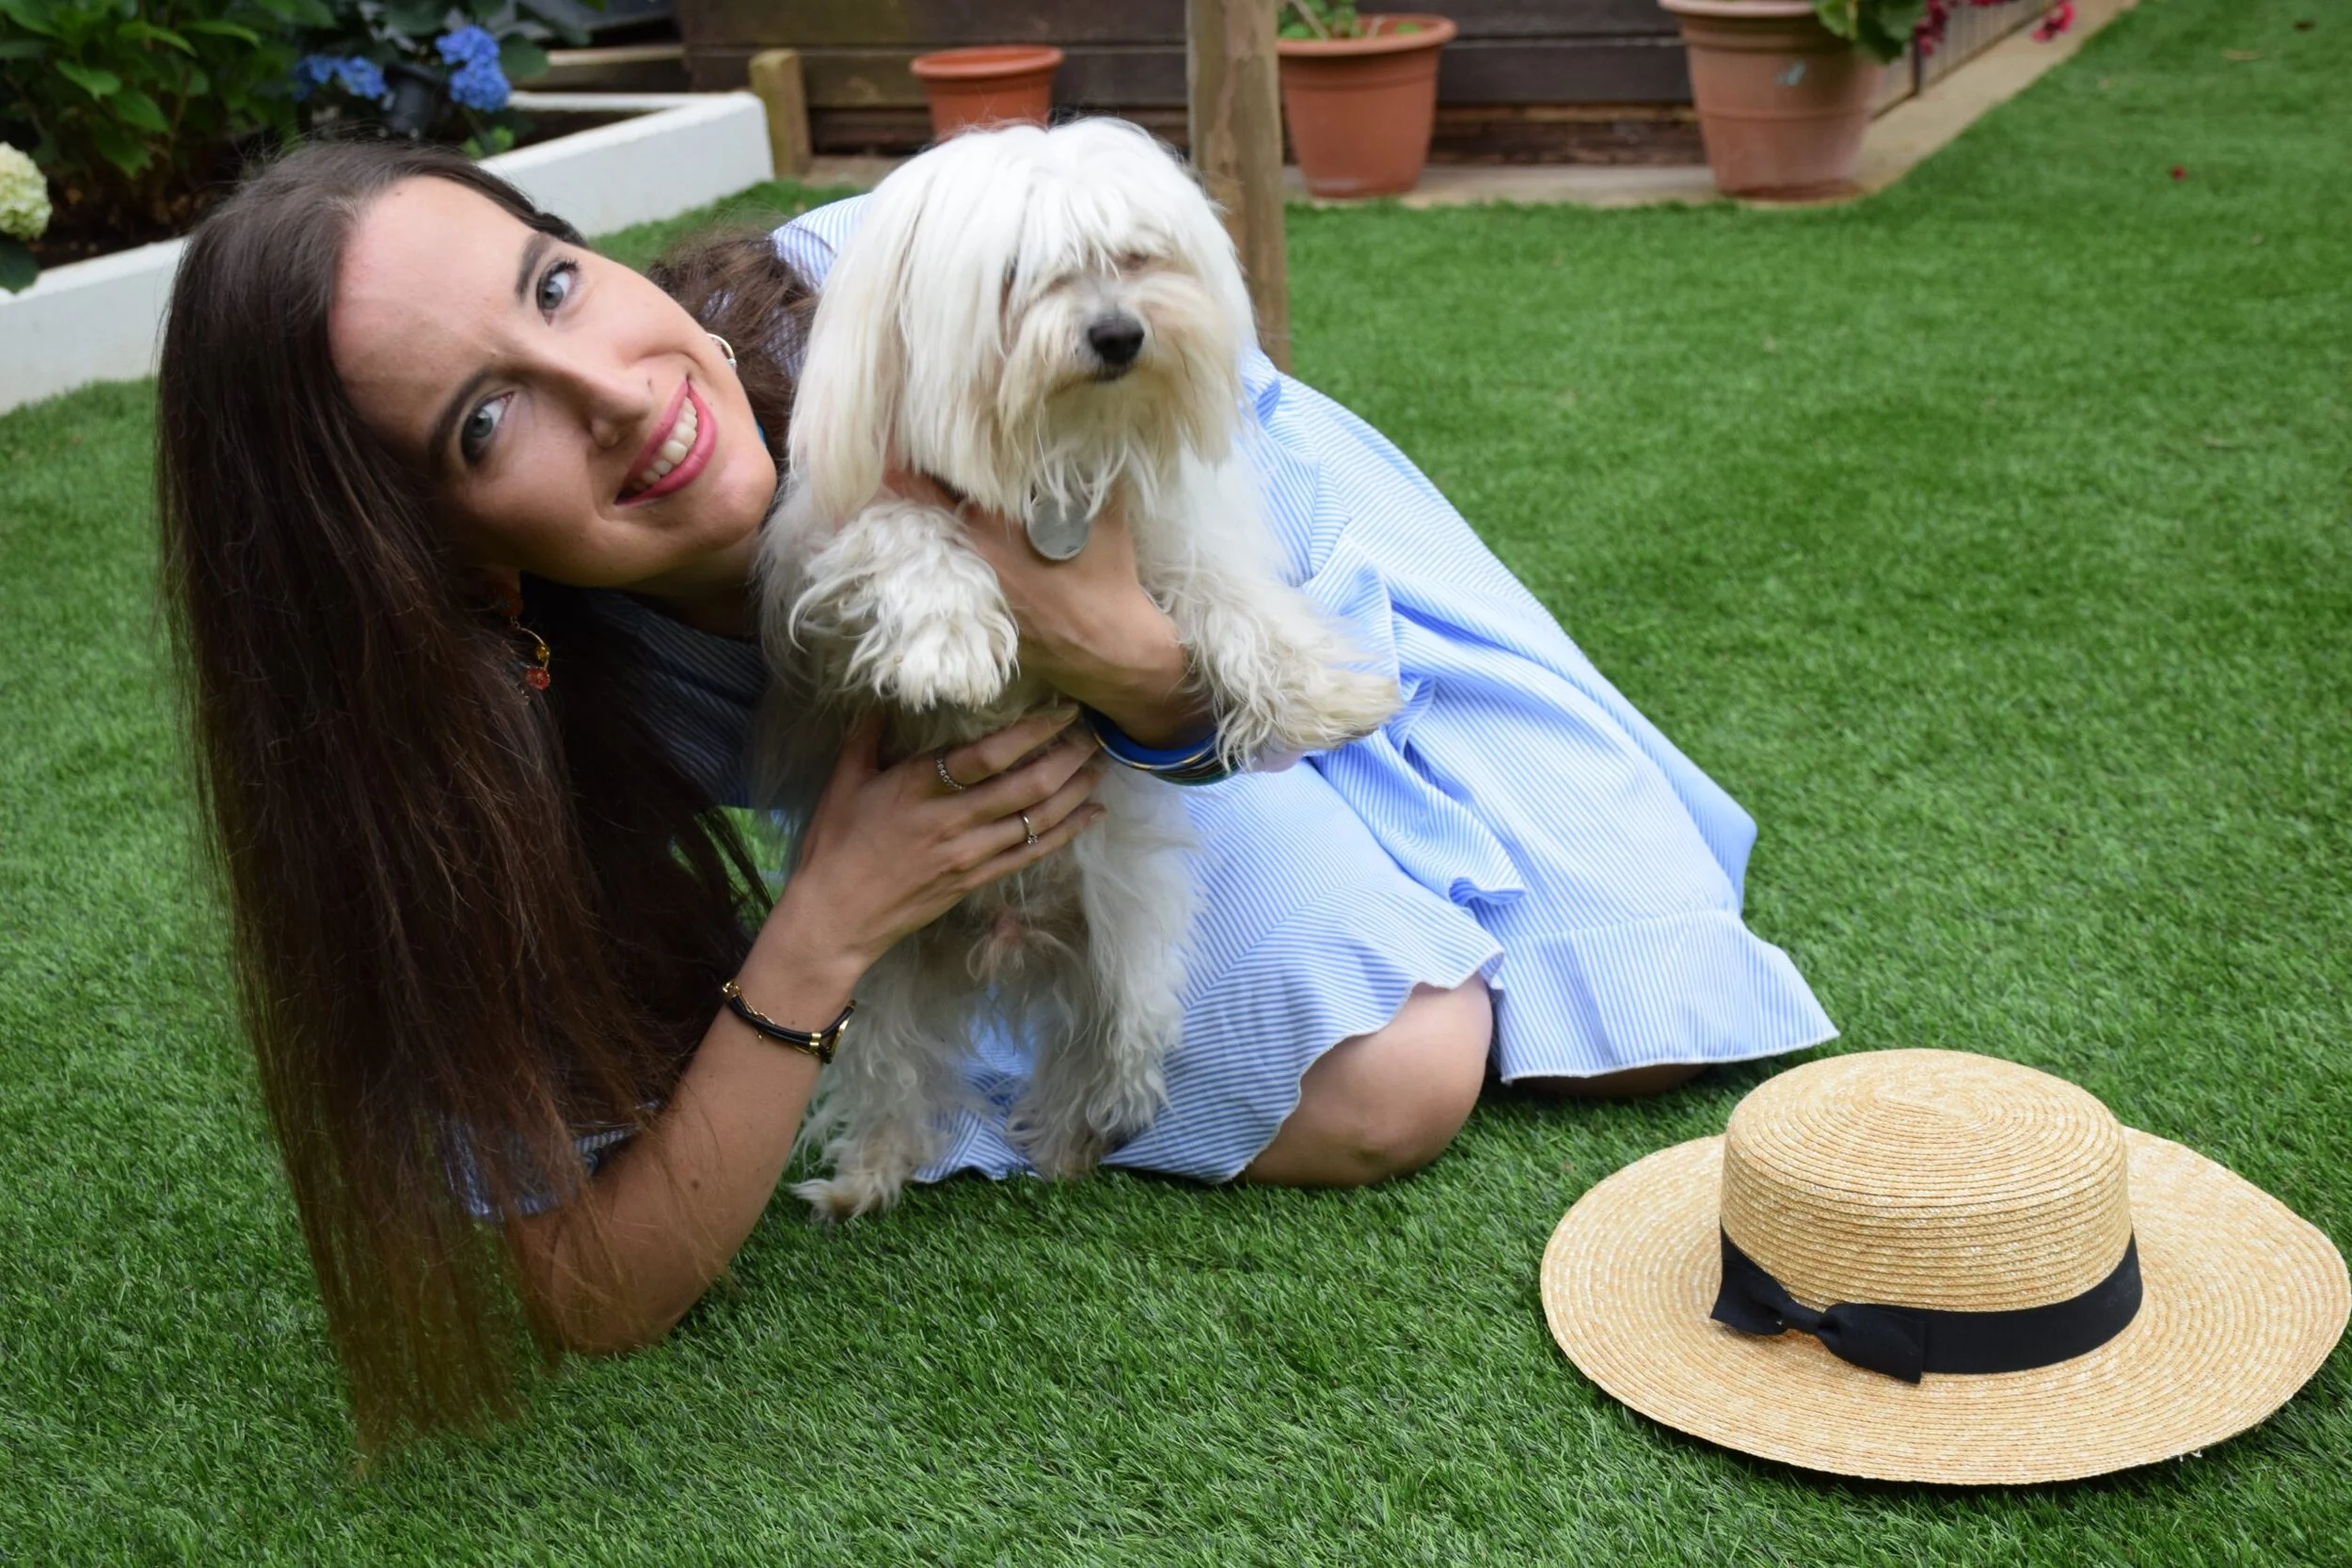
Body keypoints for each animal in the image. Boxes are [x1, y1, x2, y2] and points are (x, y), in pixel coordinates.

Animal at [756, 118, 1400, 1220]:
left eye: (1135, 258)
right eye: (1017, 273)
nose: (1118, 336)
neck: (1046, 454)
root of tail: (1004, 943)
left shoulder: (1164, 549)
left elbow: (1228, 599)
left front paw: (1321, 693)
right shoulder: (829, 573)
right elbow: (903, 536)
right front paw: (948, 643)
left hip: (1127, 961)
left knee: (1102, 1060)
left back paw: (1067, 1142)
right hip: (874, 980)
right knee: (888, 1076)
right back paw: (864, 1178)